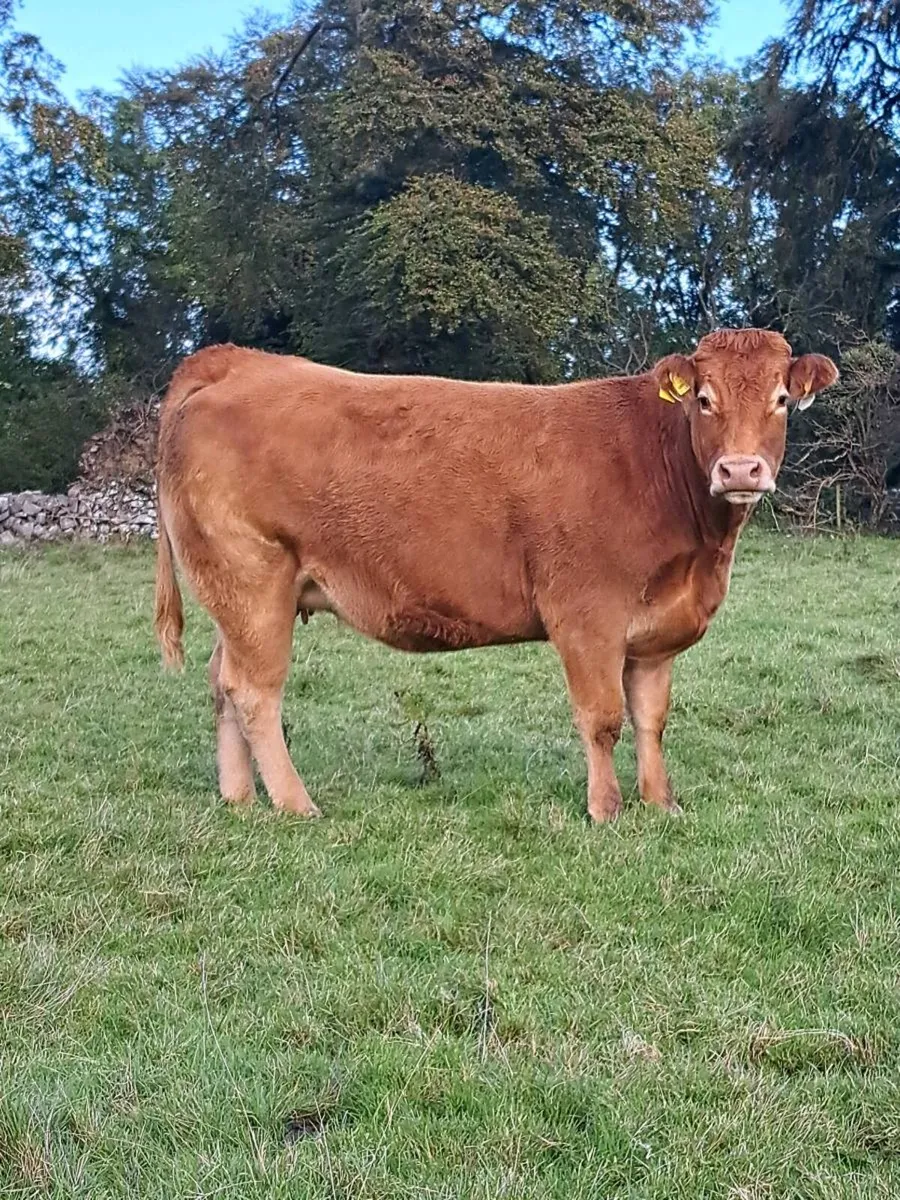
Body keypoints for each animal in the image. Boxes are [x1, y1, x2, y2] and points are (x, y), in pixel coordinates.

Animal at [154, 329, 837, 822]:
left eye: (780, 400)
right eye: (704, 399)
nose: (740, 470)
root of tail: (239, 362)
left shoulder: (656, 631)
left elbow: (651, 718)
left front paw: (661, 803)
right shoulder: (586, 615)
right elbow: (602, 717)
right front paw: (606, 810)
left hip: (241, 597)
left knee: (222, 682)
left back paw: (240, 798)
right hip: (254, 577)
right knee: (254, 691)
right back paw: (296, 804)